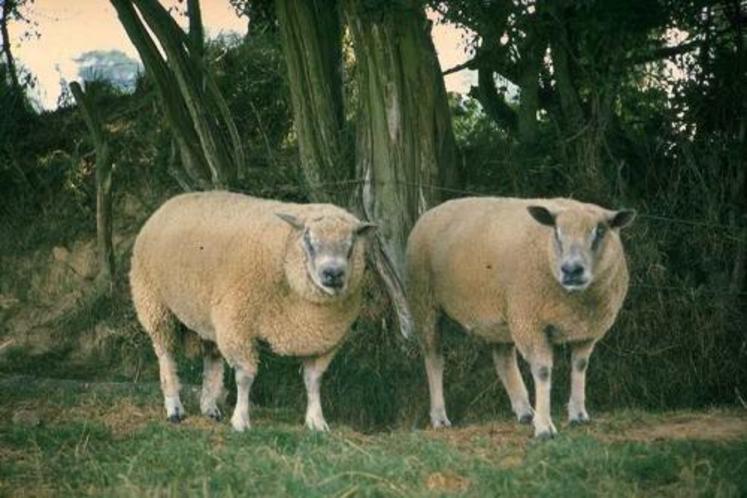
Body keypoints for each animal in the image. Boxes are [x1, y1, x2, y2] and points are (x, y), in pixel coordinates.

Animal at [129, 192, 376, 432]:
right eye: (309, 241)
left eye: (351, 244)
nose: (333, 274)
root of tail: (172, 200)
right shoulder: (238, 326)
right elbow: (245, 377)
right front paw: (241, 420)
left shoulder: (323, 342)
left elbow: (313, 381)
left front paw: (316, 421)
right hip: (155, 304)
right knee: (166, 354)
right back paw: (174, 407)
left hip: (208, 317)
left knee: (211, 358)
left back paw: (209, 407)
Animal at [406, 196, 636, 438]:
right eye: (556, 231)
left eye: (600, 231)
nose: (571, 270)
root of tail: (431, 210)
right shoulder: (530, 322)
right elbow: (542, 371)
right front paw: (544, 427)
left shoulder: (586, 330)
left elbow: (580, 366)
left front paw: (578, 414)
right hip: (424, 303)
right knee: (434, 359)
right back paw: (439, 416)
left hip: (501, 316)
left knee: (503, 359)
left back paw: (525, 411)